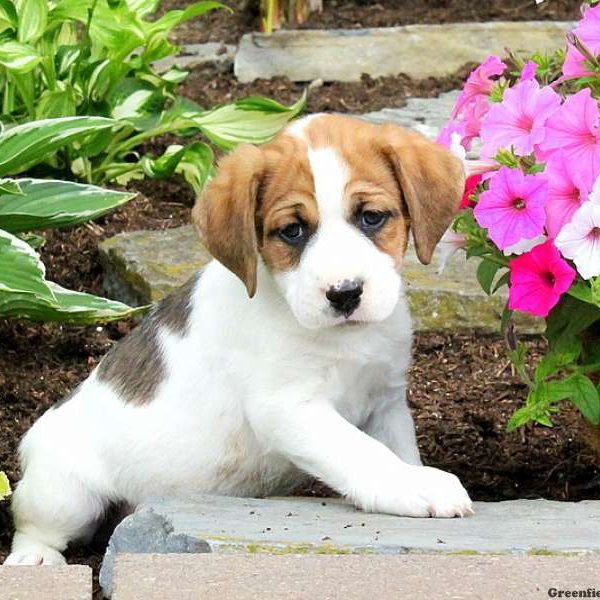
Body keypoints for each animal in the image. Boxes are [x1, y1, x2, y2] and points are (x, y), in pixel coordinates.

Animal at [7, 113, 472, 568]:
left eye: (371, 217)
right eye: (292, 230)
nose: (344, 293)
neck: (342, 339)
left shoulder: (385, 403)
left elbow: (395, 450)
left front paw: (412, 476)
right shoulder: (287, 407)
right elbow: (361, 452)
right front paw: (413, 486)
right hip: (65, 494)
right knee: (33, 526)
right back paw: (35, 558)